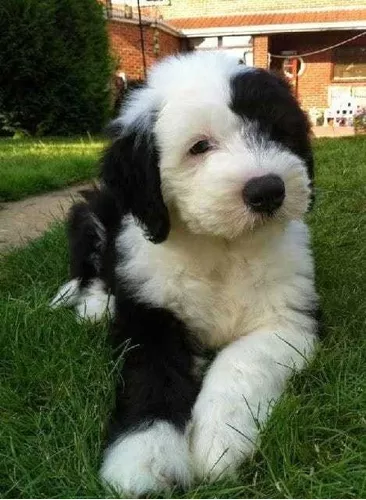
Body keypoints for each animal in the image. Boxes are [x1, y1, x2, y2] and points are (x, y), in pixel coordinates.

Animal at [50, 50, 318, 496]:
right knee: (88, 267)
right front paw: (143, 458)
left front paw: (220, 441)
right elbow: (152, 377)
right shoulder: (148, 313)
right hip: (90, 211)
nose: (268, 191)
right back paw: (93, 304)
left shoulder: (289, 320)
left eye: (276, 131)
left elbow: (239, 360)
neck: (222, 247)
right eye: (199, 147)